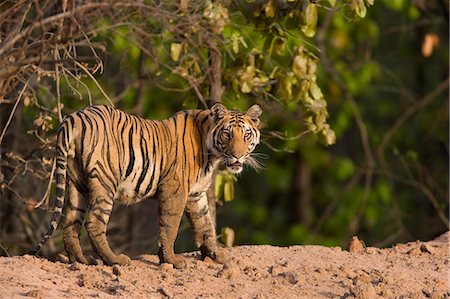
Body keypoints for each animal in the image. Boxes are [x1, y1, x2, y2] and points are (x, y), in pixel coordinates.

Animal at [31, 103, 262, 270]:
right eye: (227, 134)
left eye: (246, 135)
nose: (238, 155)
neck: (211, 153)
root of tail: (74, 117)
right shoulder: (175, 190)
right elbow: (170, 226)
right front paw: (171, 261)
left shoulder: (196, 195)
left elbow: (206, 225)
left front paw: (216, 254)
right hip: (105, 180)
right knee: (93, 223)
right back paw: (115, 260)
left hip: (76, 182)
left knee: (70, 221)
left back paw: (81, 260)